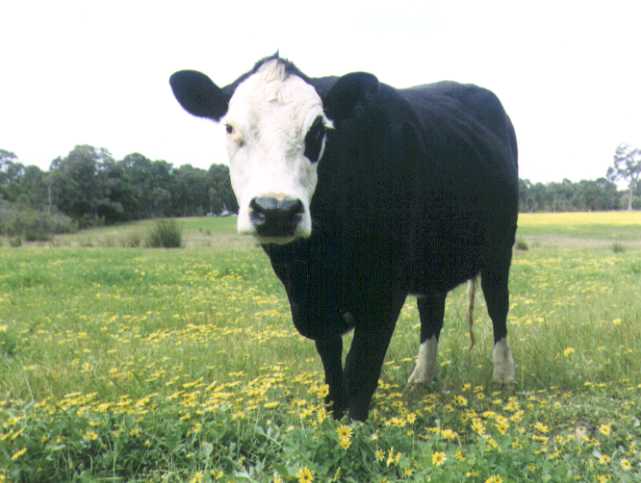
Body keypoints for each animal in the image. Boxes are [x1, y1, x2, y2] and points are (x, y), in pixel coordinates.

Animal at [170, 53, 518, 421]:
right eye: (230, 128)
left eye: (318, 130)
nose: (277, 210)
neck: (319, 258)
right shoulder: (311, 300)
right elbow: (332, 363)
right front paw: (334, 415)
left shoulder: (385, 291)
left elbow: (362, 365)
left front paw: (353, 426)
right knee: (432, 312)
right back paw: (421, 377)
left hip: (500, 249)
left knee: (498, 306)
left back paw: (503, 376)